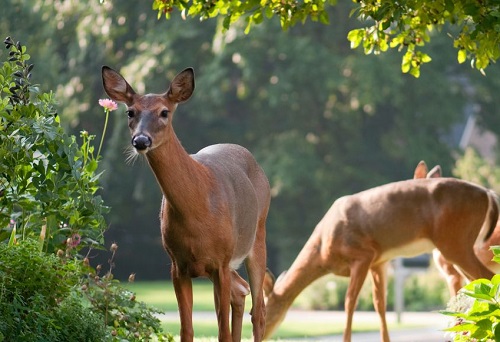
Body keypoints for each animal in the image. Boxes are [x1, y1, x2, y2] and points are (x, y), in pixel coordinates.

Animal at [101, 67, 272, 342]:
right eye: (130, 111)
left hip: (257, 235)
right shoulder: (177, 264)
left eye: (164, 112)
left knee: (259, 311)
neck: (198, 210)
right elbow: (186, 329)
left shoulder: (221, 261)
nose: (141, 141)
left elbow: (222, 331)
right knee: (241, 291)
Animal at [264, 174, 498, 342]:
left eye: (262, 309)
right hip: (457, 244)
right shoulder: (379, 262)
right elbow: (380, 304)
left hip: (454, 241)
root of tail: (487, 193)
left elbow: (350, 302)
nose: (261, 335)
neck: (323, 250)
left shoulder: (363, 255)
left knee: (487, 278)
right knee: (475, 284)